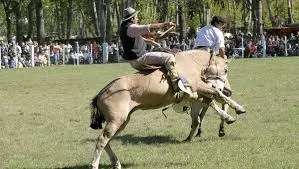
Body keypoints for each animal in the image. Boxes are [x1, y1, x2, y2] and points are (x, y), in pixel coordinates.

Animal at [88, 49, 245, 168]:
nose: (228, 89)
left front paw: (229, 116)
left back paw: (116, 163)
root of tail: (100, 94)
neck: (192, 62)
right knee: (102, 140)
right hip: (116, 121)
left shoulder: (197, 93)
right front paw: (238, 109)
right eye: (225, 69)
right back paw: (95, 164)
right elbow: (216, 94)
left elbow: (212, 99)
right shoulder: (198, 86)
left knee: (107, 141)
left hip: (122, 122)